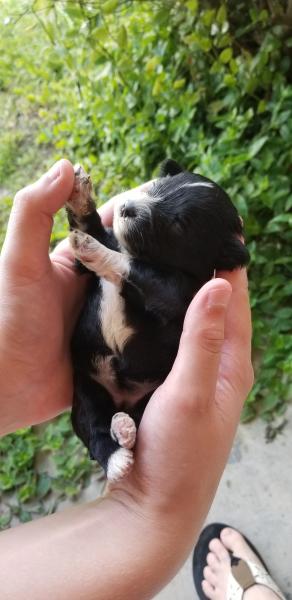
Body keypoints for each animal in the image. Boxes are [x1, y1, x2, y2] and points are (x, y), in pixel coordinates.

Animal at [66, 159, 249, 482]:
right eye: (155, 186)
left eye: (178, 226)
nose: (126, 207)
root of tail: (121, 399)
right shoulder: (102, 246)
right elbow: (88, 226)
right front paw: (80, 192)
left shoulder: (176, 291)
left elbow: (135, 267)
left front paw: (91, 248)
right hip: (87, 388)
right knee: (94, 428)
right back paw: (118, 448)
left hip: (148, 397)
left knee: (122, 426)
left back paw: (122, 439)